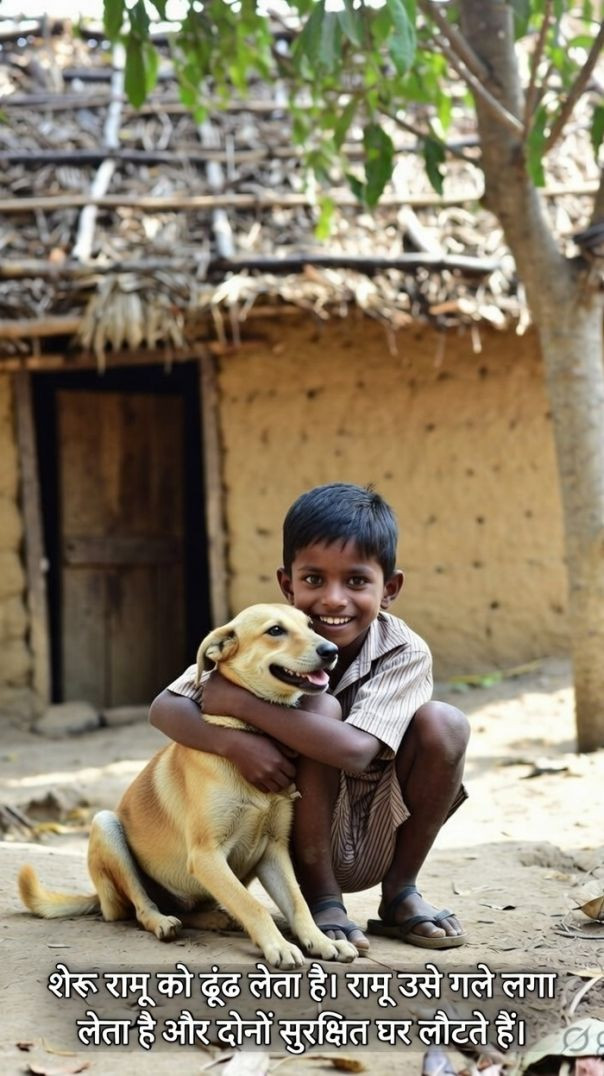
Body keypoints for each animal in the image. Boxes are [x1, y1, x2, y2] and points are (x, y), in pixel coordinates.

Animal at [18, 604, 358, 968]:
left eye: (310, 625)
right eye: (275, 631)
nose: (331, 650)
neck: (252, 732)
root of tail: (98, 897)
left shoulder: (274, 849)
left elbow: (297, 903)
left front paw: (322, 941)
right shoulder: (206, 855)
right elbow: (253, 906)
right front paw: (277, 946)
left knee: (194, 908)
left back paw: (216, 918)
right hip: (106, 827)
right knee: (140, 907)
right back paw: (162, 921)